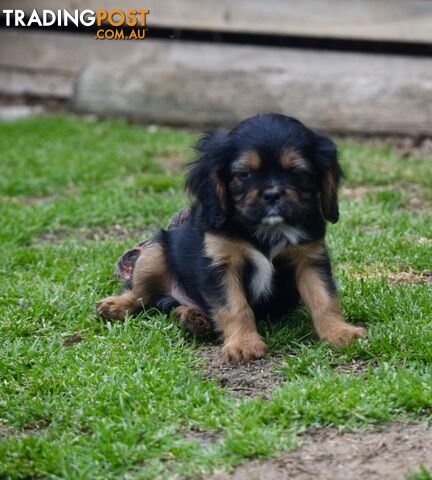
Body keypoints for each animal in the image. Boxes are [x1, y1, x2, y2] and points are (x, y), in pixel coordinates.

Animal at [97, 113, 364, 360]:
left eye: (297, 173)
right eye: (245, 174)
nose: (272, 194)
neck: (266, 229)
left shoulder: (309, 258)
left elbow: (324, 298)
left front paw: (340, 332)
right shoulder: (222, 263)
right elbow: (235, 306)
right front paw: (244, 344)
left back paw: (191, 318)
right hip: (153, 252)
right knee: (141, 294)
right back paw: (117, 305)